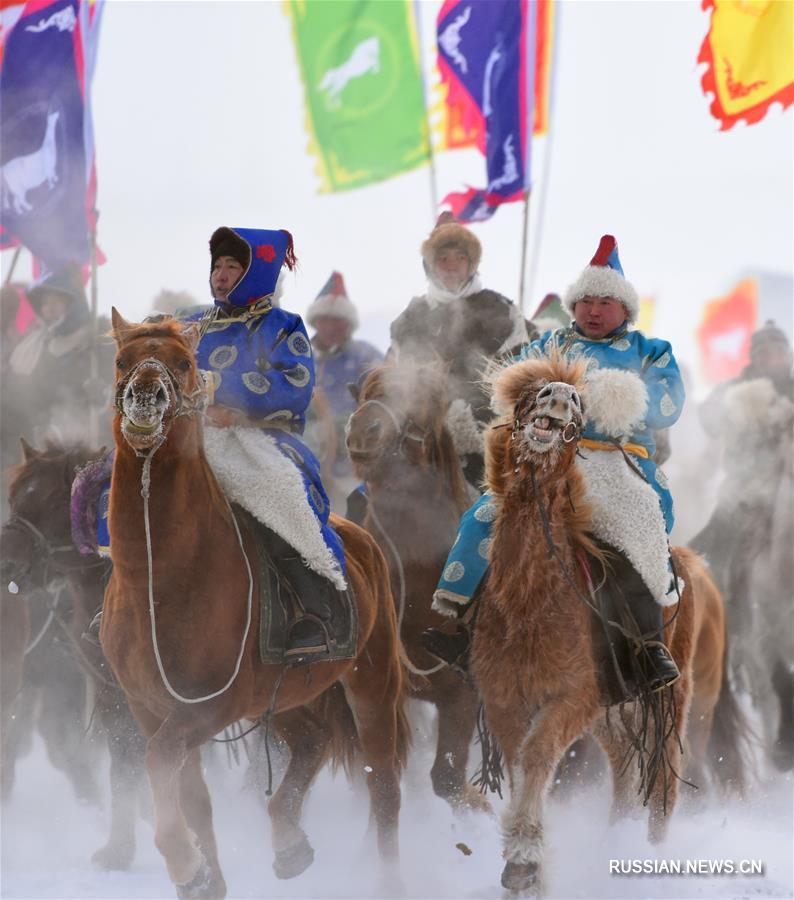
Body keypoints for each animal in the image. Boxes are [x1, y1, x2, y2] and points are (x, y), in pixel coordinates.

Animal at [101, 312, 406, 900]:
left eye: (183, 363)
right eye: (123, 361)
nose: (145, 397)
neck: (158, 578)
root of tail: (361, 538)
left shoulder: (205, 710)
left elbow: (160, 765)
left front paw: (185, 863)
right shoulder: (150, 709)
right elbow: (191, 797)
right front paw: (203, 878)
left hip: (372, 681)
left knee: (384, 789)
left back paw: (386, 880)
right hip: (283, 698)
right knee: (310, 741)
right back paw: (288, 842)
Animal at [468, 356, 704, 896]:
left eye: (579, 402)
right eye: (531, 391)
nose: (560, 395)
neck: (531, 599)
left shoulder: (573, 696)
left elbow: (537, 754)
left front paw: (525, 855)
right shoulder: (504, 697)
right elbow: (518, 758)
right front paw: (524, 866)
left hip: (668, 695)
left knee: (663, 781)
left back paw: (648, 856)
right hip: (615, 711)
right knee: (624, 768)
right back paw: (614, 841)